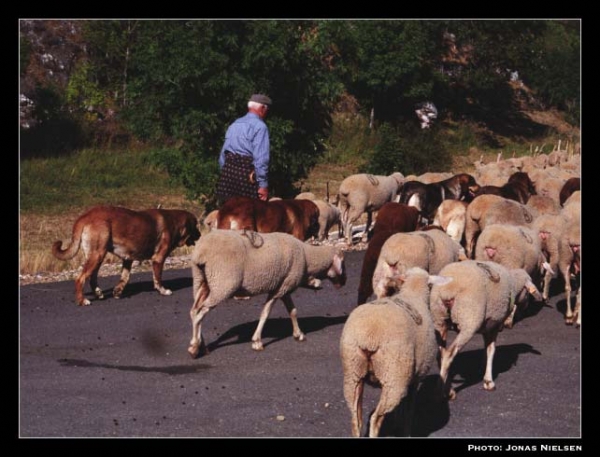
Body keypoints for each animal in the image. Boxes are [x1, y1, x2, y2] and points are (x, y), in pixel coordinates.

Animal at [52, 205, 200, 304]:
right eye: (196, 226)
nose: (200, 235)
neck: (174, 221)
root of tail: (85, 216)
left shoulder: (128, 259)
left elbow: (125, 278)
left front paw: (117, 291)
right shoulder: (158, 259)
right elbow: (158, 279)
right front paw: (163, 291)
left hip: (97, 255)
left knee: (92, 277)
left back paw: (98, 293)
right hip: (97, 255)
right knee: (80, 279)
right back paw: (82, 300)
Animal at [188, 228, 346, 356]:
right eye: (342, 262)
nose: (344, 282)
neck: (307, 257)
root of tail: (201, 252)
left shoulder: (284, 286)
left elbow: (293, 311)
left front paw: (298, 334)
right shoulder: (280, 289)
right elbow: (265, 313)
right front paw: (257, 342)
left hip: (202, 281)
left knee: (194, 310)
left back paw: (201, 345)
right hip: (223, 283)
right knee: (201, 312)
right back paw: (194, 347)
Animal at [338, 266, 450, 436]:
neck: (412, 293)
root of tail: (370, 336)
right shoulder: (415, 378)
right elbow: (409, 411)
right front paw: (406, 432)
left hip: (353, 371)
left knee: (355, 419)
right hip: (394, 376)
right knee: (376, 418)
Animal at [428, 260, 540, 400]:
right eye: (527, 292)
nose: (526, 306)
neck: (513, 285)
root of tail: (447, 290)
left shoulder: (486, 326)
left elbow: (486, 349)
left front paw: (483, 366)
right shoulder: (495, 324)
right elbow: (491, 350)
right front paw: (488, 381)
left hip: (439, 319)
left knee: (441, 355)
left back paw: (448, 389)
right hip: (469, 320)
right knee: (449, 354)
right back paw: (440, 392)